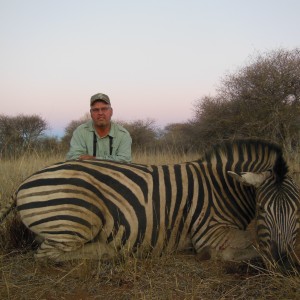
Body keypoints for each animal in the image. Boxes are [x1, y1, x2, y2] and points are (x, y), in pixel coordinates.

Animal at [0, 139, 298, 270]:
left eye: (297, 212)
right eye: (262, 209)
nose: (284, 263)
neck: (223, 186)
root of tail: (23, 183)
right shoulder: (210, 233)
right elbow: (254, 245)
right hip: (78, 219)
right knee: (47, 255)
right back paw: (109, 252)